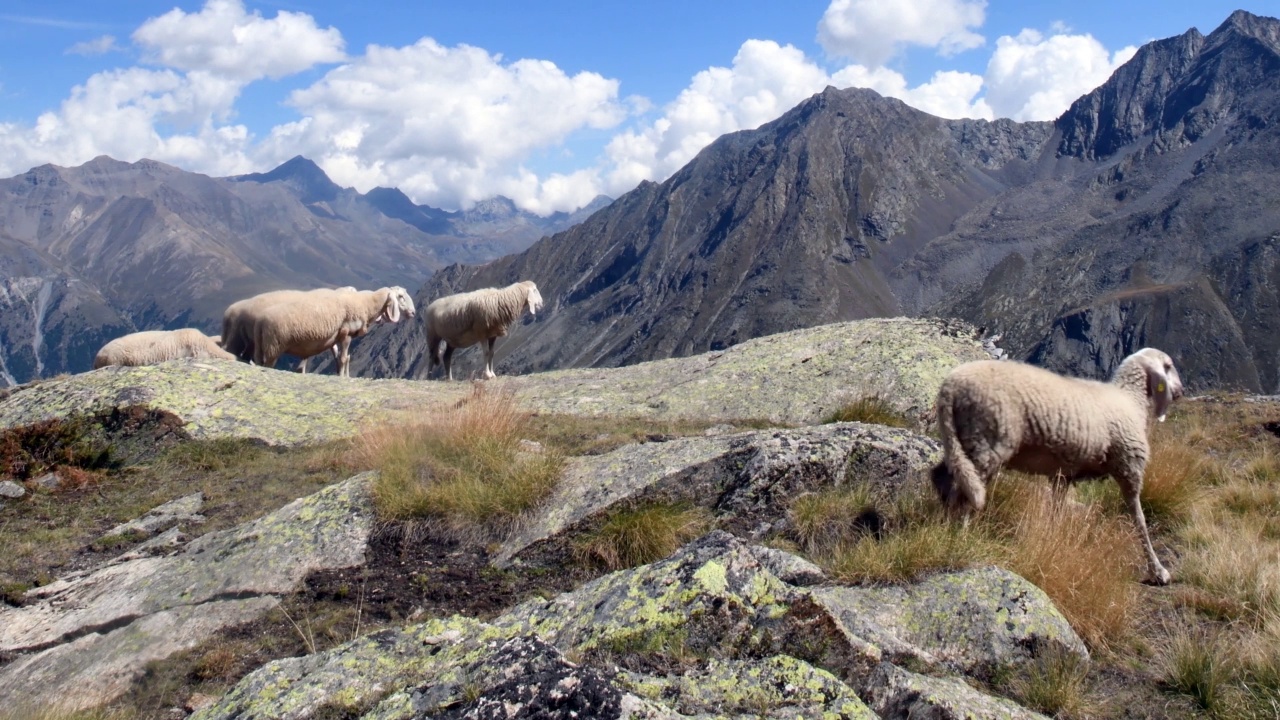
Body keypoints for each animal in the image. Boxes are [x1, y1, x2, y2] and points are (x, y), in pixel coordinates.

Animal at [247, 284, 412, 379]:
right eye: (400, 297)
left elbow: (340, 358)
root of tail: (260, 322)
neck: (367, 304)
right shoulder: (346, 333)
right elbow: (344, 358)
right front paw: (342, 378)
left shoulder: (336, 338)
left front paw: (341, 374)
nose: (413, 312)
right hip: (273, 347)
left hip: (262, 347)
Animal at [926, 345, 1182, 584]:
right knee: (965, 492)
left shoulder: (1064, 473)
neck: (1131, 399)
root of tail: (950, 386)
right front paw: (1158, 570)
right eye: (1168, 366)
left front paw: (1053, 539)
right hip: (986, 441)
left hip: (962, 441)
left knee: (943, 478)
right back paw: (960, 536)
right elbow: (1138, 518)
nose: (1181, 391)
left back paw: (942, 529)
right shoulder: (1129, 466)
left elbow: (1057, 509)